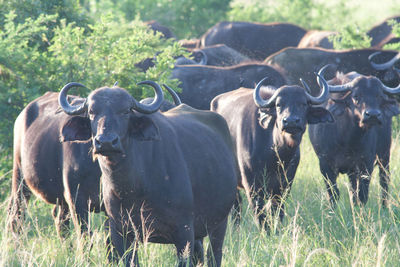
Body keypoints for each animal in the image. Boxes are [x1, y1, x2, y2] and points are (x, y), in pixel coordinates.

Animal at [58, 81, 238, 267]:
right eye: (92, 112)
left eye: (125, 111)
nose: (106, 142)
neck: (132, 188)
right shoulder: (121, 232)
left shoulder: (184, 231)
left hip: (219, 223)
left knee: (214, 255)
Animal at [211, 74, 332, 229]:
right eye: (279, 105)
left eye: (303, 104)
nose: (290, 121)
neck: (274, 155)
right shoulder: (252, 184)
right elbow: (260, 213)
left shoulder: (285, 183)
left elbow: (277, 211)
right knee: (236, 206)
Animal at [310, 65, 400, 207]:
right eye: (356, 96)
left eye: (379, 96)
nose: (373, 115)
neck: (347, 140)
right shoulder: (324, 164)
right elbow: (333, 193)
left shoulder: (366, 162)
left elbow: (362, 194)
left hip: (385, 155)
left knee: (384, 180)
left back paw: (384, 206)